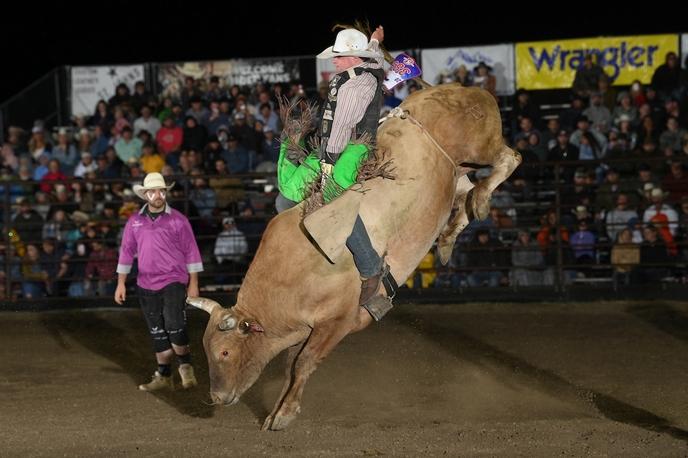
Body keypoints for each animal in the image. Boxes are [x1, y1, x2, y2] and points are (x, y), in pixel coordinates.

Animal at [187, 84, 521, 430]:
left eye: (225, 353)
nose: (217, 398)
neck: (288, 278)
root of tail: (460, 88)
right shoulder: (303, 329)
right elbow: (291, 365)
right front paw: (276, 411)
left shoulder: (338, 320)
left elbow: (303, 362)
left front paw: (284, 413)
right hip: (457, 171)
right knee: (465, 192)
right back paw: (449, 235)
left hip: (479, 147)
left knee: (509, 158)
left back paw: (481, 201)